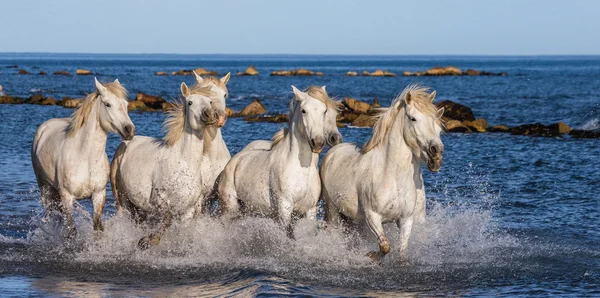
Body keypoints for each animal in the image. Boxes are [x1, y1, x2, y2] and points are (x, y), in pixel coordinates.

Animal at [31, 78, 135, 239]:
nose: (129, 130)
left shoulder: (98, 195)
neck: (85, 158)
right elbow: (71, 230)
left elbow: (98, 228)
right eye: (108, 104)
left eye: (125, 104)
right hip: (44, 188)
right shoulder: (67, 197)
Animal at [110, 82, 218, 249]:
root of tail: (125, 142)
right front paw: (148, 241)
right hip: (121, 200)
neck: (183, 164)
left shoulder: (188, 211)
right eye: (190, 102)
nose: (210, 115)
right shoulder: (160, 200)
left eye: (210, 101)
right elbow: (167, 220)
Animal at [216, 85, 340, 237]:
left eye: (324, 110)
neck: (300, 170)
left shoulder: (310, 210)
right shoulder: (285, 208)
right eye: (304, 110)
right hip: (229, 209)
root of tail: (232, 162)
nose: (317, 142)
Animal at [322, 84, 442, 260]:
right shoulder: (373, 217)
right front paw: (371, 256)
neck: (392, 176)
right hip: (332, 211)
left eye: (437, 123)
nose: (437, 152)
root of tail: (333, 151)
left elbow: (402, 250)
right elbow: (385, 246)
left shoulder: (406, 219)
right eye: (413, 118)